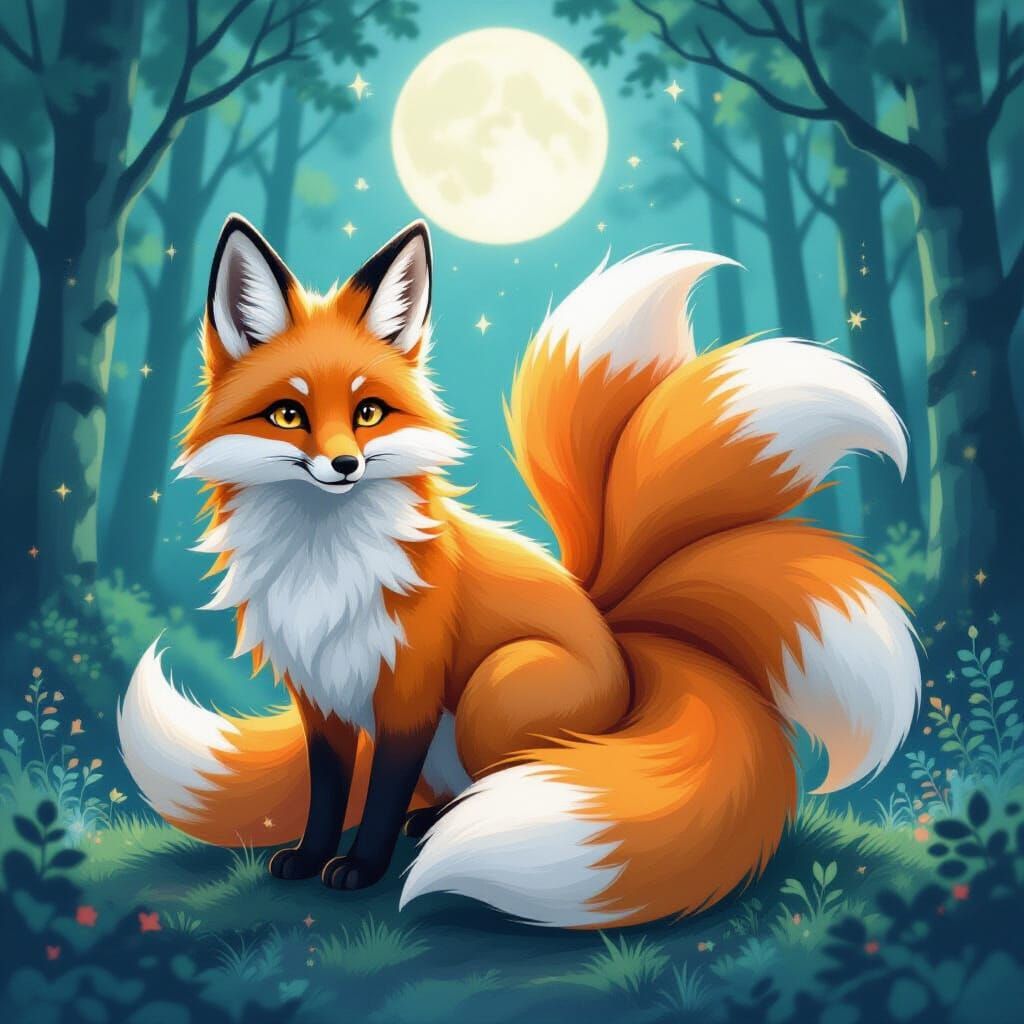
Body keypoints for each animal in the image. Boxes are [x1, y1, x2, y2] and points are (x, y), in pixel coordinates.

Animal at [118, 213, 920, 928]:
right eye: (288, 415)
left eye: (369, 411)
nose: (344, 465)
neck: (323, 563)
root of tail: (619, 642)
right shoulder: (320, 693)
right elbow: (329, 791)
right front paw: (312, 857)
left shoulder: (409, 691)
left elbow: (378, 796)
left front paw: (361, 867)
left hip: (490, 691)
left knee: (515, 773)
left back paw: (454, 821)